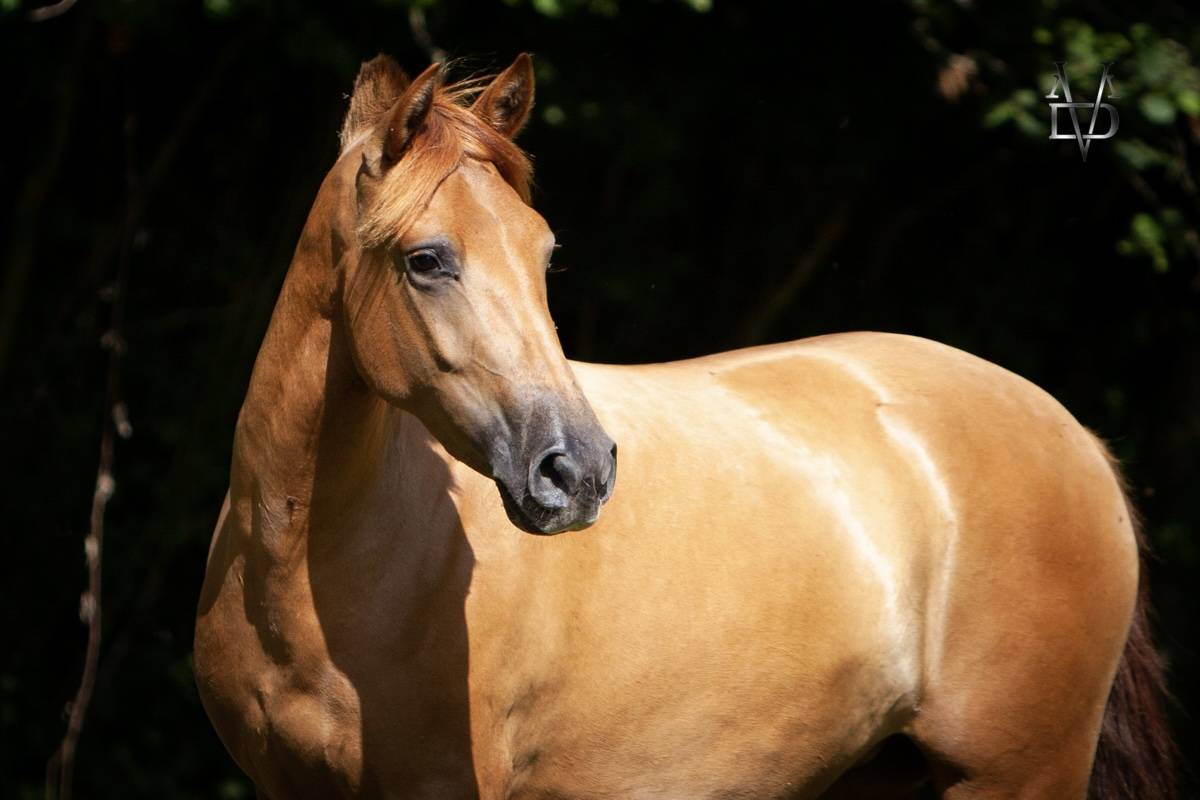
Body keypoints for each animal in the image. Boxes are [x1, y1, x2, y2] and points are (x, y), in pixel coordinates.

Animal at [194, 54, 1174, 799]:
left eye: (545, 254)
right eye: (426, 259)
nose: (577, 472)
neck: (313, 566)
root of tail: (1076, 438)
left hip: (1015, 775)